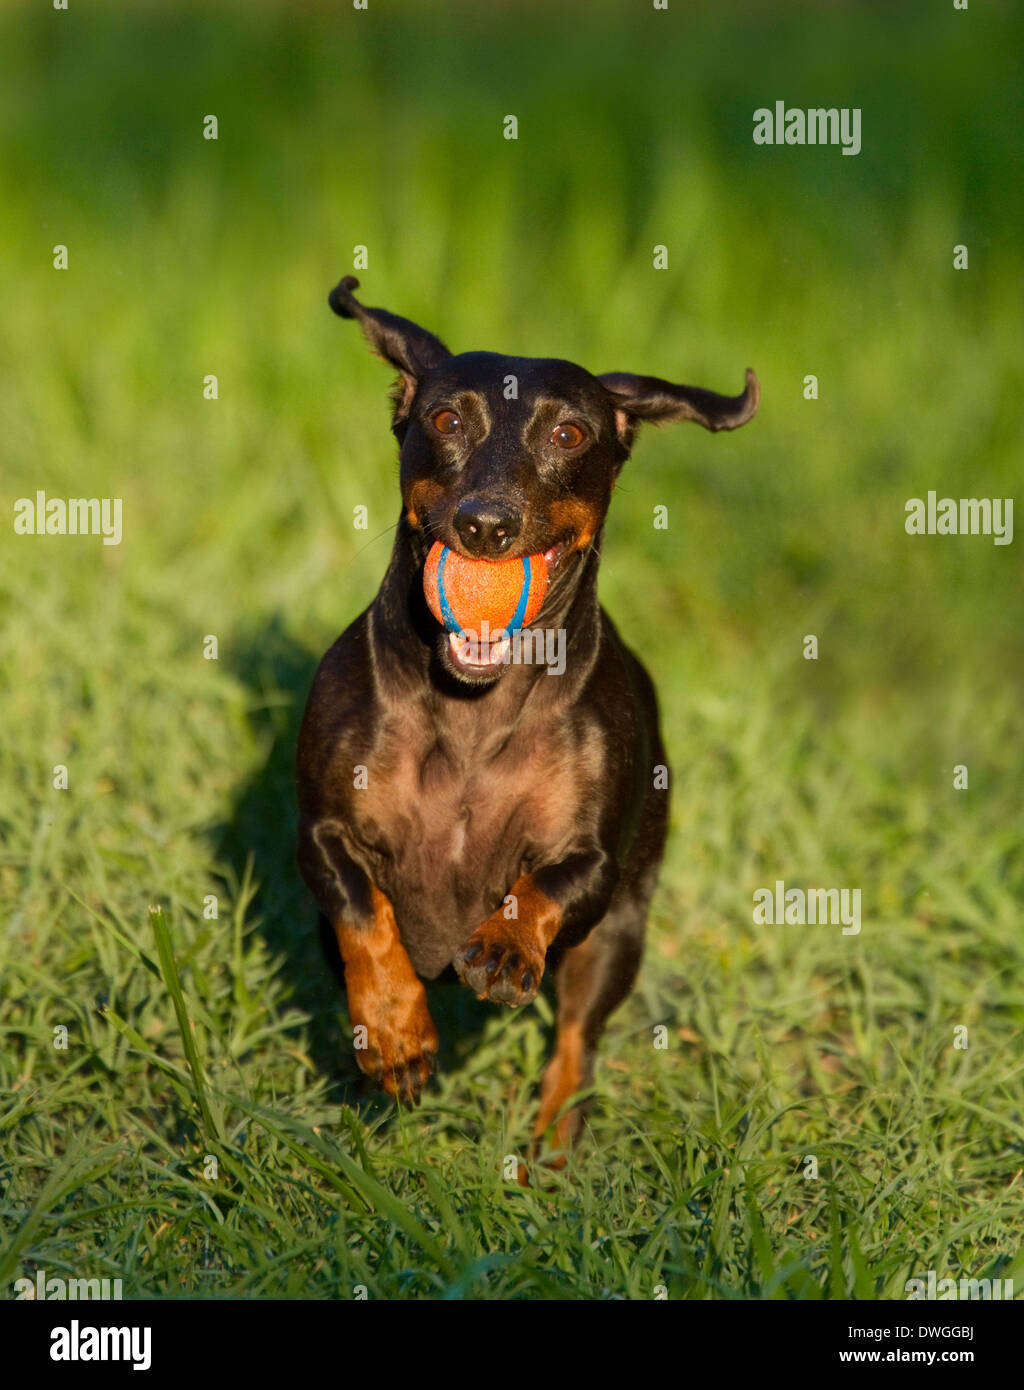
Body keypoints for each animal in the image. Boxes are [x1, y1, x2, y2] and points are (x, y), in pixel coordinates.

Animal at [295, 276, 761, 1167]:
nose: (486, 524)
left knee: (578, 1037)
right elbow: (365, 915)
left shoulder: (595, 866)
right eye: (446, 420)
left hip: (619, 937)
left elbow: (543, 885)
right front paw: (398, 1033)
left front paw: (506, 947)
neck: (472, 710)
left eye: (569, 432)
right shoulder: (322, 836)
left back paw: (552, 1143)